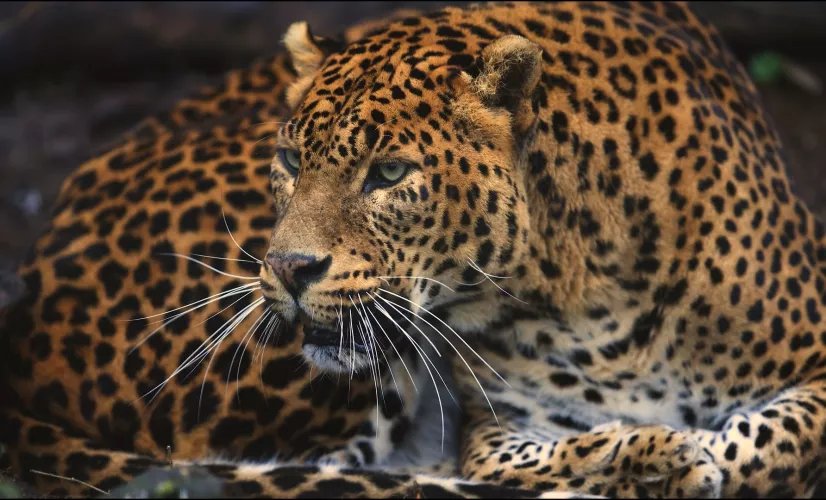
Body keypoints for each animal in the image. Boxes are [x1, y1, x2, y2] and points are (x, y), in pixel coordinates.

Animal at [3, 1, 826, 499]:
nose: (288, 271)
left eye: (390, 174)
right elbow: (523, 464)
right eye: (291, 160)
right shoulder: (501, 428)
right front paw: (651, 458)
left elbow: (772, 442)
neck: (576, 290)